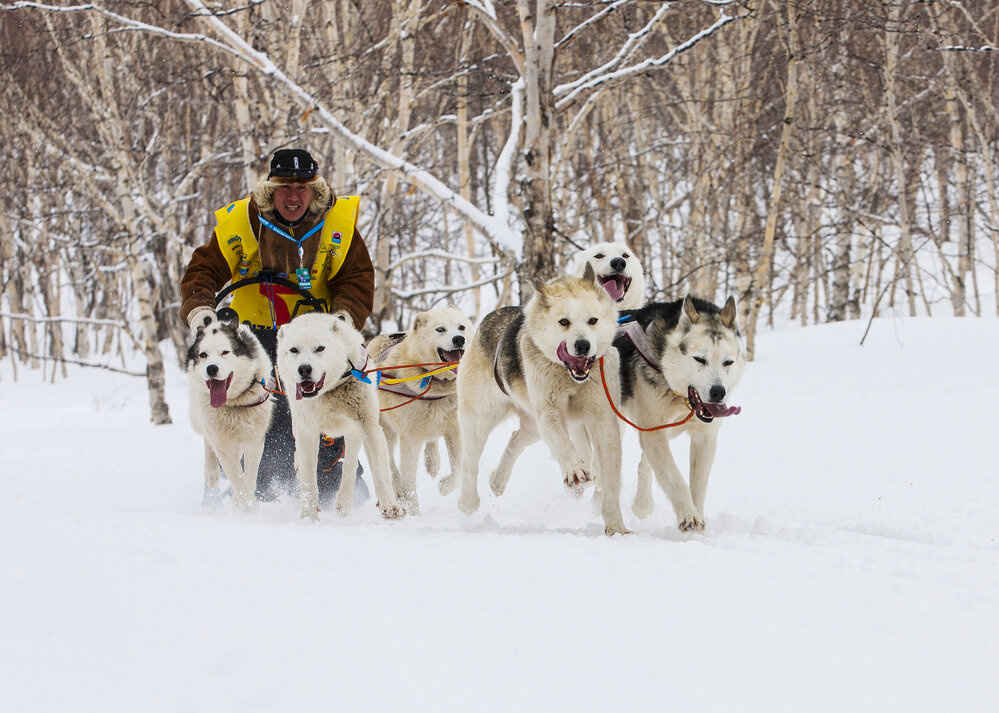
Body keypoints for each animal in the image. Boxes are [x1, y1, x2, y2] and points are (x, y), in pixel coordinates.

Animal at [186, 318, 274, 512]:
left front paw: (245, 503)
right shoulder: (223, 444)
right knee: (207, 440)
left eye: (225, 352)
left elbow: (249, 478)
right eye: (203, 355)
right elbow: (238, 479)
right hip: (198, 419)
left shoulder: (254, 441)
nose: (211, 368)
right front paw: (247, 507)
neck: (235, 403)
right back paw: (211, 473)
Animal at [276, 314, 404, 520]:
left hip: (355, 432)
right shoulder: (307, 432)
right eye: (294, 350)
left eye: (320, 348)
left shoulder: (368, 426)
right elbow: (309, 479)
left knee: (351, 463)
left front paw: (390, 506)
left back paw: (344, 501)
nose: (304, 369)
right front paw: (309, 515)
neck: (328, 392)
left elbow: (378, 470)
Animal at [368, 306, 476, 512]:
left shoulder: (454, 430)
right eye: (440, 329)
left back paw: (432, 462)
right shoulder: (410, 439)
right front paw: (413, 512)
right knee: (388, 462)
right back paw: (396, 485)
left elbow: (458, 471)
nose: (459, 339)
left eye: (462, 327)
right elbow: (408, 482)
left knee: (431, 440)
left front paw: (444, 486)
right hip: (384, 430)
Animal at [458, 266, 628, 536]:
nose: (583, 345)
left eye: (593, 320)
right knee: (469, 461)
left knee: (515, 439)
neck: (571, 378)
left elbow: (609, 477)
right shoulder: (549, 414)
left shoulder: (603, 419)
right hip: (480, 419)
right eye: (564, 322)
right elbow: (563, 444)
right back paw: (468, 502)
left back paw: (498, 480)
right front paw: (575, 470)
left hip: (532, 426)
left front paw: (617, 527)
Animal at [612, 294, 748, 528]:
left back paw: (641, 504)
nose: (718, 392)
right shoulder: (654, 431)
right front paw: (688, 516)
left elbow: (698, 485)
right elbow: (674, 477)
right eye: (699, 359)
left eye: (728, 362)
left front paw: (697, 515)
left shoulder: (705, 438)